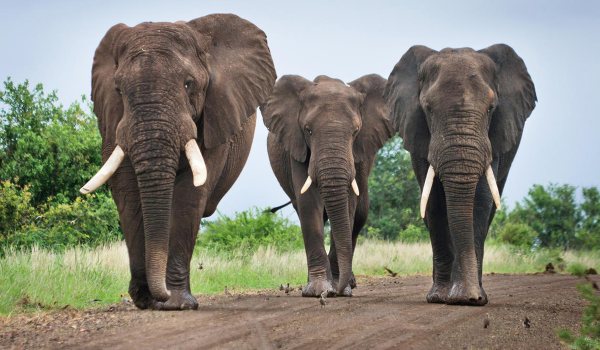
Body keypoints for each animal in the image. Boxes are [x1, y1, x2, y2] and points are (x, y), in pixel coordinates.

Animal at [80, 13, 276, 312]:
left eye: (188, 84)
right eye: (119, 90)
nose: (155, 295)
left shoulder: (214, 116)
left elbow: (188, 195)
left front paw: (176, 303)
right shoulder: (112, 121)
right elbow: (126, 190)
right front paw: (145, 299)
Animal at [260, 75, 392, 296]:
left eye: (356, 131)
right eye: (308, 130)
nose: (335, 291)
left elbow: (349, 204)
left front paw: (341, 289)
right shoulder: (297, 146)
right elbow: (308, 204)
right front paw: (318, 290)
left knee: (360, 215)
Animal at [386, 44, 536, 306]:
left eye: (491, 108)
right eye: (428, 109)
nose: (470, 297)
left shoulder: (494, 136)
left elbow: (480, 200)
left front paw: (470, 298)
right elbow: (434, 202)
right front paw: (440, 297)